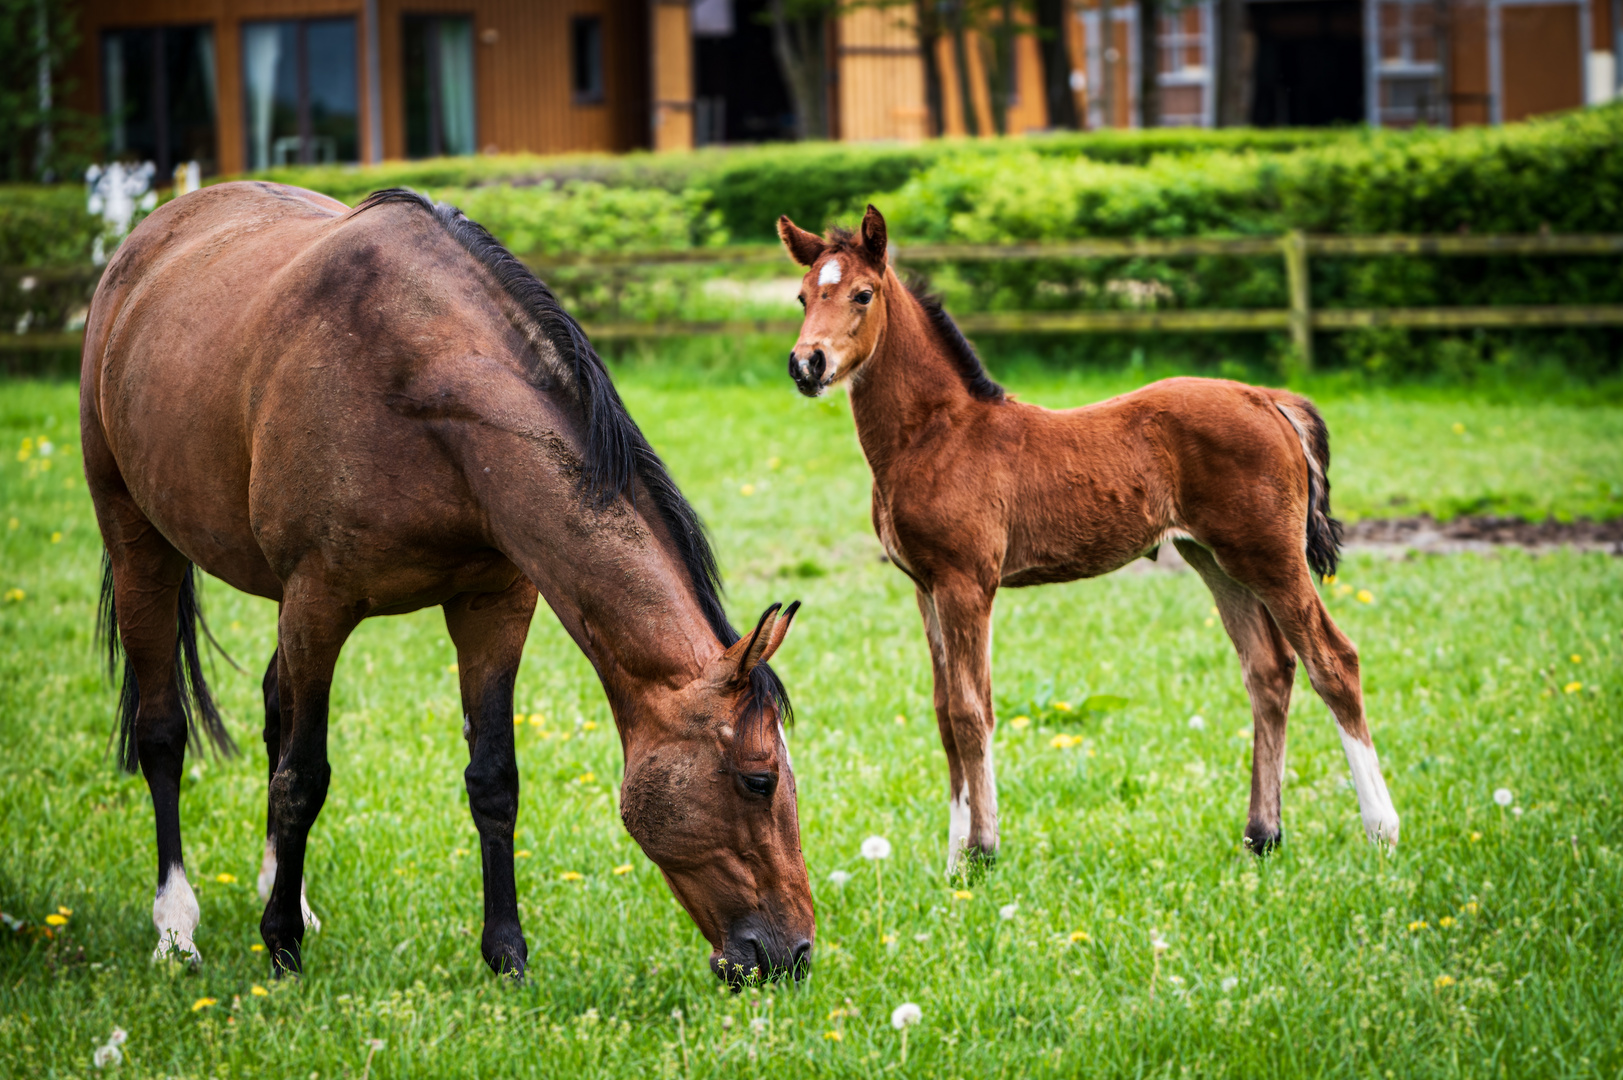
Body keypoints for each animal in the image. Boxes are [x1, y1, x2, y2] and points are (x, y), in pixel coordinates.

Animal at [77, 181, 811, 980]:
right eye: (758, 779)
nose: (794, 952)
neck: (425, 389)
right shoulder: (319, 603)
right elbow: (304, 777)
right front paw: (282, 949)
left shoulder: (493, 605)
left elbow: (493, 778)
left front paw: (506, 955)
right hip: (137, 537)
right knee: (163, 733)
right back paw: (176, 928)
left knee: (275, 709)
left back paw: (286, 892)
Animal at [772, 206, 1395, 870]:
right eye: (803, 295)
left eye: (863, 294)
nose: (807, 365)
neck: (936, 433)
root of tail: (1269, 399)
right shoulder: (926, 585)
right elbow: (943, 712)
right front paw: (952, 861)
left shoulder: (967, 583)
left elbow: (971, 710)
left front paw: (982, 852)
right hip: (1215, 559)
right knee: (1269, 670)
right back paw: (1262, 835)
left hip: (1271, 555)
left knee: (1334, 660)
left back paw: (1381, 830)